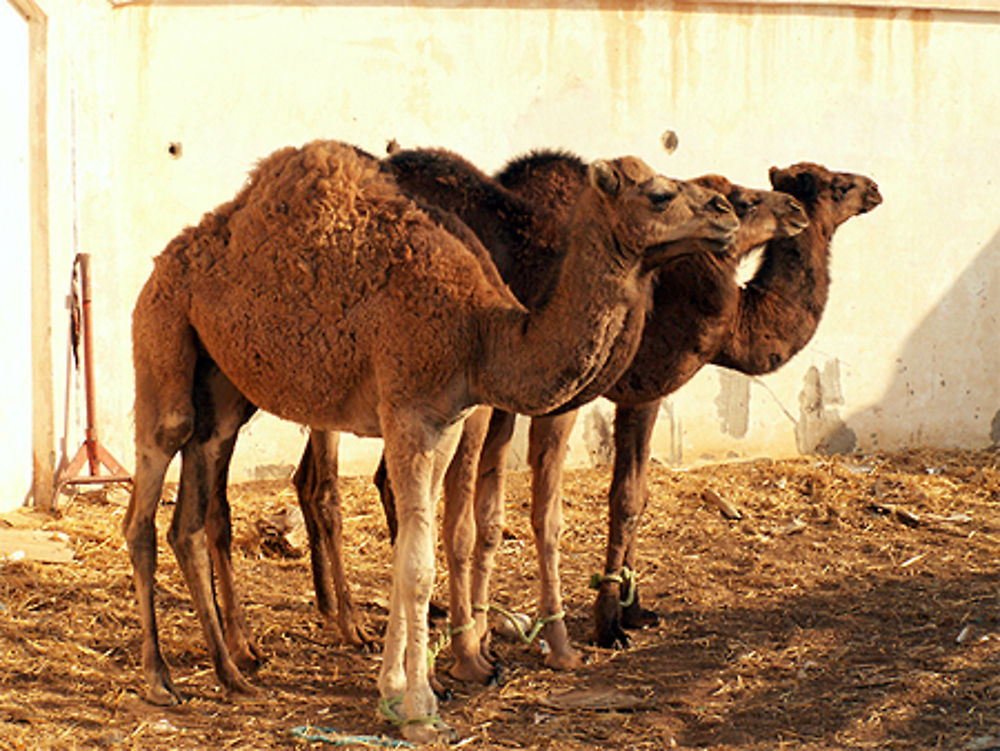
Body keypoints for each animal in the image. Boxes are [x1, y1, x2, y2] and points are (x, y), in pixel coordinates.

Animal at [123, 138, 736, 744]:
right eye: (659, 195)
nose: (724, 214)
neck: (481, 332)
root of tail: (171, 254)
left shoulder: (446, 421)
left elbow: (409, 557)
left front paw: (395, 691)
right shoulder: (410, 415)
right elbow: (418, 566)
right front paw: (421, 708)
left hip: (223, 387)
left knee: (190, 516)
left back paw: (234, 673)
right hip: (162, 334)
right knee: (150, 490)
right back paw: (160, 680)